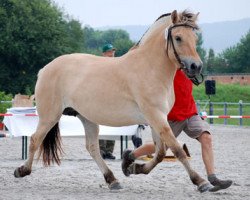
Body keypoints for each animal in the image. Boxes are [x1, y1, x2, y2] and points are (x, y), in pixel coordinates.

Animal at [13, 10, 209, 191]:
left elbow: (160, 152)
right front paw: (201, 182)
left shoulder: (157, 119)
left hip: (87, 118)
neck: (149, 68)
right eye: (178, 37)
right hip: (50, 116)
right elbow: (177, 150)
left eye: (194, 38)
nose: (196, 66)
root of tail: (45, 69)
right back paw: (22, 170)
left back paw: (112, 179)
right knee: (35, 139)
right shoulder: (156, 116)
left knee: (92, 147)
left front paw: (134, 168)